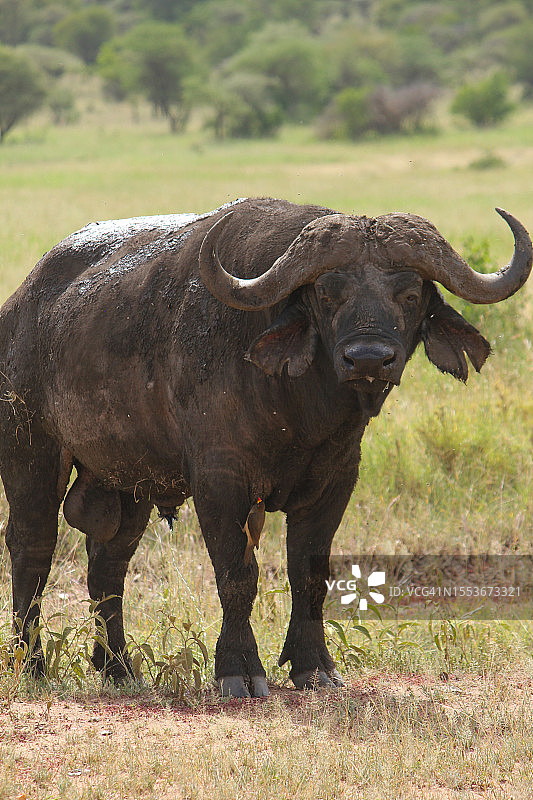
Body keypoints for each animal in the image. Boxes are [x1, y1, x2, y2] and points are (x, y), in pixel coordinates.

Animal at [0, 198, 528, 692]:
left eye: (411, 293)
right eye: (327, 293)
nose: (368, 359)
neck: (297, 412)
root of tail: (20, 307)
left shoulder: (337, 479)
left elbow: (310, 574)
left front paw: (314, 665)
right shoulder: (219, 480)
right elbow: (238, 574)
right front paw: (238, 668)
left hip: (128, 484)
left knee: (108, 565)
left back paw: (119, 669)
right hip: (31, 454)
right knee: (32, 548)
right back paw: (33, 664)